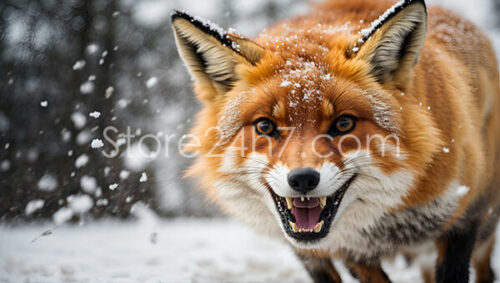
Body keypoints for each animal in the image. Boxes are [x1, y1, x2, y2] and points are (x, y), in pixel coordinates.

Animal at [172, 0, 500, 282]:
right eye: (265, 126)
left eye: (343, 123)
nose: (303, 179)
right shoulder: (344, 252)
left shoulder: (462, 220)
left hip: (483, 228)